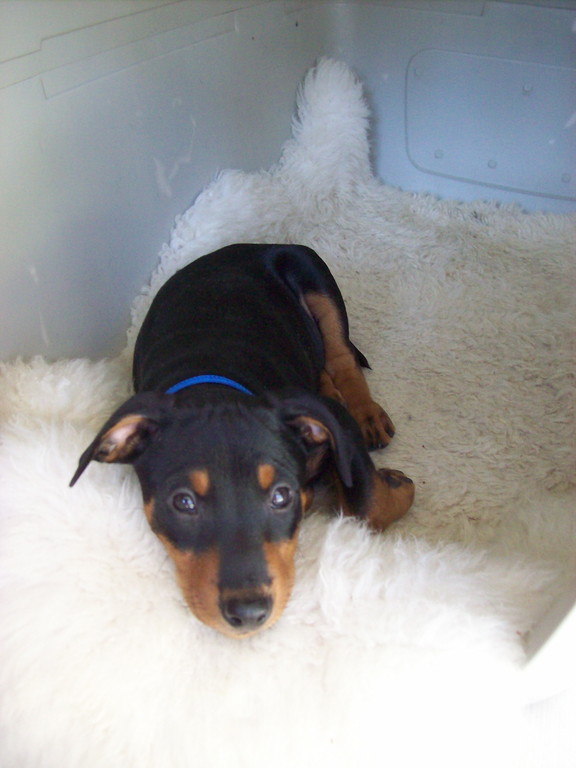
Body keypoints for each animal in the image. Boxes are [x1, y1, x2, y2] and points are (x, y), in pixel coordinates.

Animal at [70, 244, 414, 637]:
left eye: (281, 496)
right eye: (183, 502)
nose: (248, 613)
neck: (215, 380)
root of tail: (249, 246)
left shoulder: (336, 427)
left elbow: (365, 504)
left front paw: (398, 486)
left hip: (313, 272)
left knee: (341, 356)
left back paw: (367, 413)